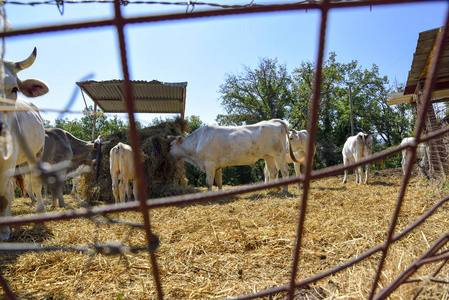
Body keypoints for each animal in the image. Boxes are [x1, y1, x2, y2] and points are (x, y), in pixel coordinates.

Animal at [166, 118, 296, 191]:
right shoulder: (217, 165)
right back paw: (272, 189)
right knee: (273, 171)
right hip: (268, 156)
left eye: (171, 145)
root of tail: (272, 121)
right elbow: (218, 181)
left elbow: (209, 182)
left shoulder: (209, 163)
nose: (168, 153)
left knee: (285, 170)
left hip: (279, 154)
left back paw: (285, 190)